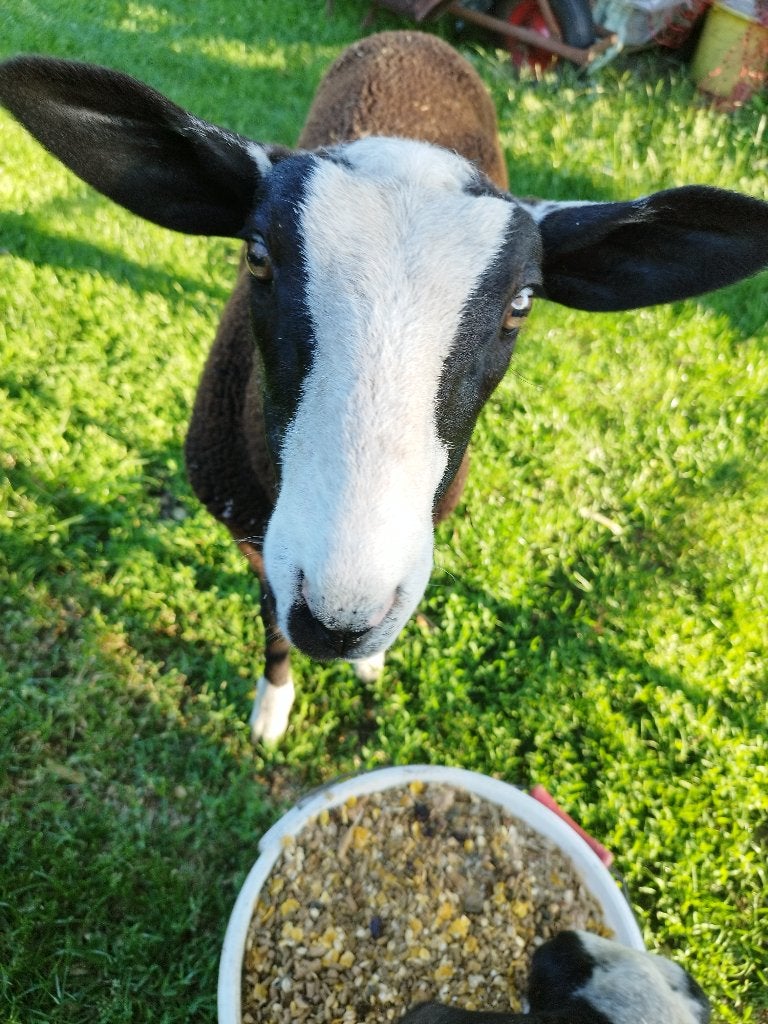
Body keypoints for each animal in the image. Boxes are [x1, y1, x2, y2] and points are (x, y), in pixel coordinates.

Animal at [1, 32, 767, 743]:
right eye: (257, 257)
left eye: (522, 304)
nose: (341, 622)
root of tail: (417, 37)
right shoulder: (255, 538)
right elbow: (270, 615)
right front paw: (272, 707)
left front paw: (366, 664)